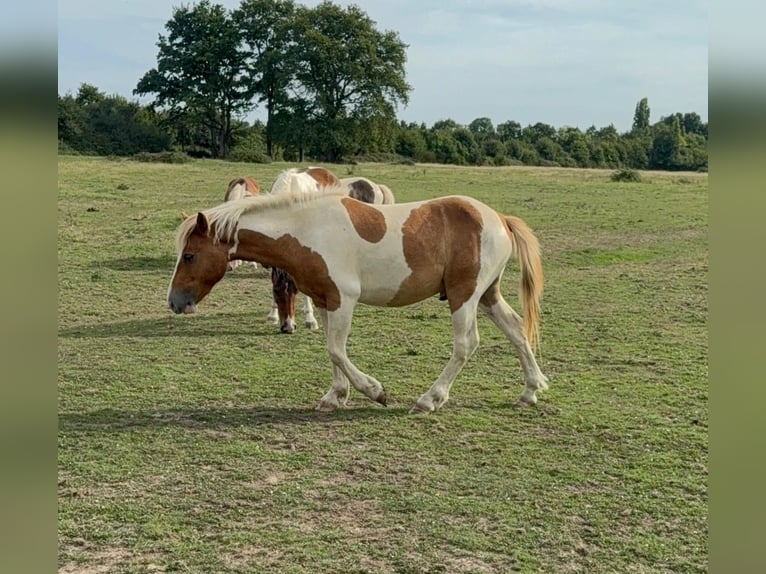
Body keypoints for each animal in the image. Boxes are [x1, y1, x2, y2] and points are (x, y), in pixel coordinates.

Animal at [270, 176, 396, 333]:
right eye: (275, 291)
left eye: (295, 291)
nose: (288, 327)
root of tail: (375, 185)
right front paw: (273, 314)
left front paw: (310, 319)